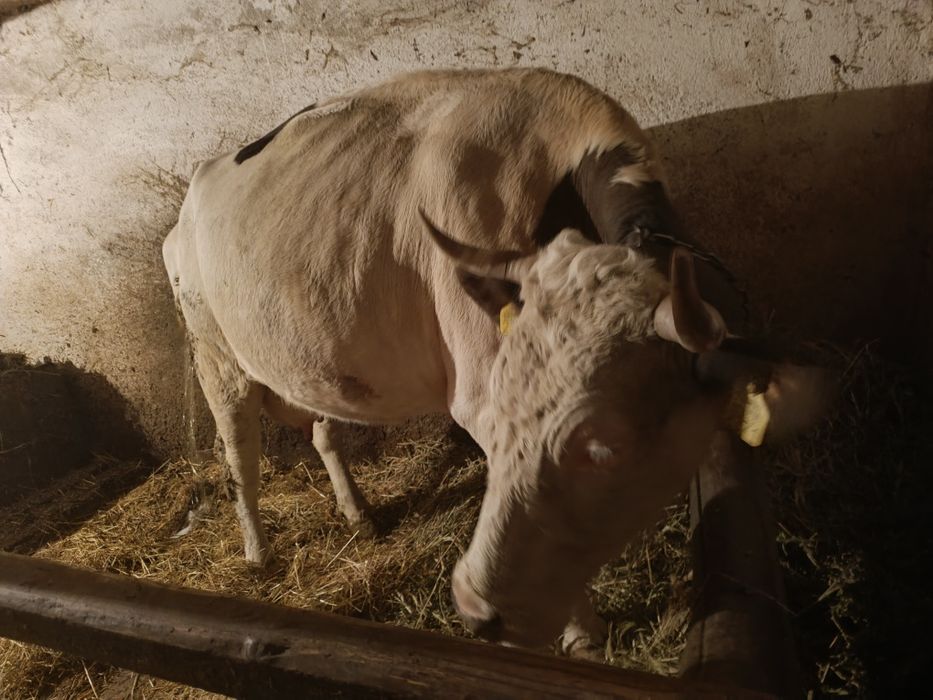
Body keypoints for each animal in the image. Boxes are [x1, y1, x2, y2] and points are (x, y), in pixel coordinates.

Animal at [162, 68, 827, 651]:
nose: (480, 613)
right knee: (240, 456)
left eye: (605, 447)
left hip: (309, 355)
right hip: (214, 356)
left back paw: (359, 517)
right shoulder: (479, 394)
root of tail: (195, 189)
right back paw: (257, 554)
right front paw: (579, 634)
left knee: (325, 429)